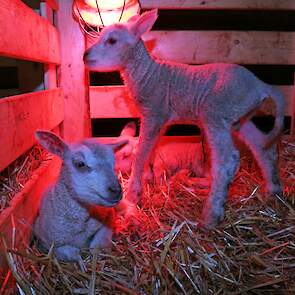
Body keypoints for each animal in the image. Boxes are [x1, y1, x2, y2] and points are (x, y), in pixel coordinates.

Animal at [33, 131, 127, 264]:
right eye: (80, 164)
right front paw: (81, 262)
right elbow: (68, 252)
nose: (116, 190)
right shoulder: (44, 241)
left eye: (113, 163)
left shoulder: (108, 216)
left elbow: (96, 245)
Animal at [83, 8, 284, 228]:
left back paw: (211, 215)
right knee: (262, 148)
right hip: (241, 117)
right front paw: (147, 179)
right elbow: (151, 149)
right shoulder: (160, 119)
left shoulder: (154, 112)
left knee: (227, 160)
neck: (147, 74)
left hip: (217, 113)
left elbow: (141, 152)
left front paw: (132, 193)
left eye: (112, 40)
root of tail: (261, 86)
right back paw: (272, 191)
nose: (85, 55)